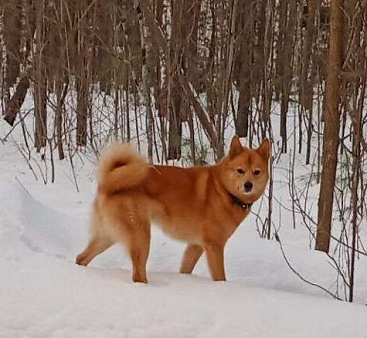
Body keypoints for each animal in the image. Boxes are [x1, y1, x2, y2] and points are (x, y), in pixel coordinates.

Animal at [75, 137, 270, 282]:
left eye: (257, 172)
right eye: (240, 170)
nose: (248, 185)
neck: (223, 189)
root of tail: (108, 183)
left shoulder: (195, 246)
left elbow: (185, 269)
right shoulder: (214, 246)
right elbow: (220, 277)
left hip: (108, 235)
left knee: (81, 258)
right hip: (140, 236)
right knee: (138, 274)